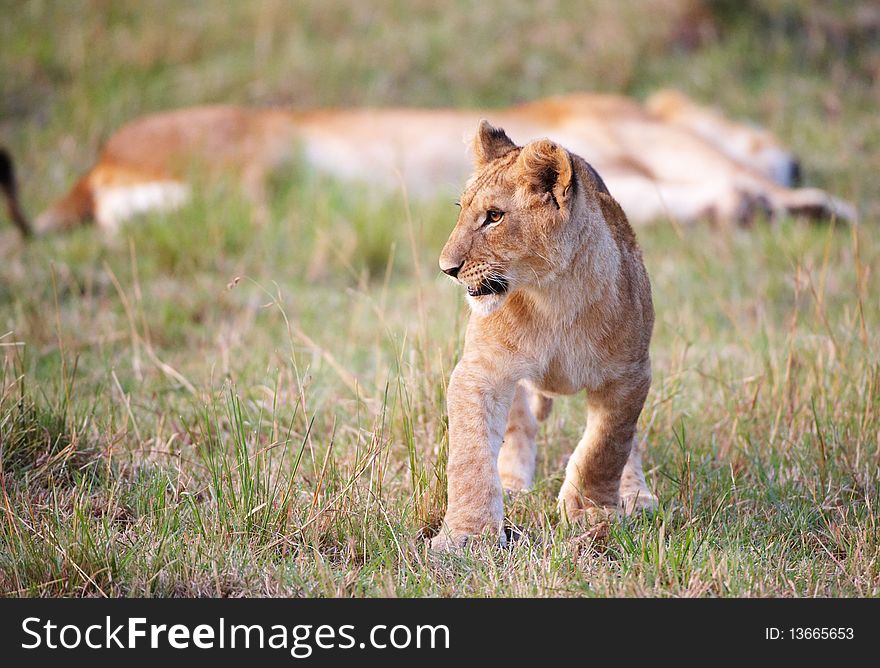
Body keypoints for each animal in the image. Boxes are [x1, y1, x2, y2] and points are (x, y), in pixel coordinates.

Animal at [432, 120, 652, 548]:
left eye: (494, 216)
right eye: (461, 210)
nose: (447, 268)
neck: (554, 296)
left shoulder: (630, 375)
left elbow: (606, 446)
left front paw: (589, 511)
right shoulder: (482, 371)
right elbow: (470, 456)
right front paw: (467, 535)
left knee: (628, 443)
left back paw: (638, 495)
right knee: (520, 427)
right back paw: (514, 485)